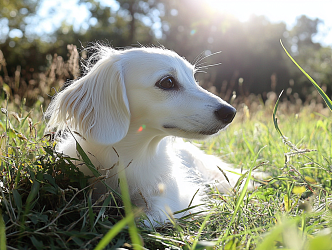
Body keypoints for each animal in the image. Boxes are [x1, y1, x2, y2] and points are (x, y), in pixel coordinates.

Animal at [44, 44, 241, 226]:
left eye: (193, 79)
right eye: (167, 82)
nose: (230, 112)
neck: (132, 156)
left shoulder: (174, 198)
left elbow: (144, 219)